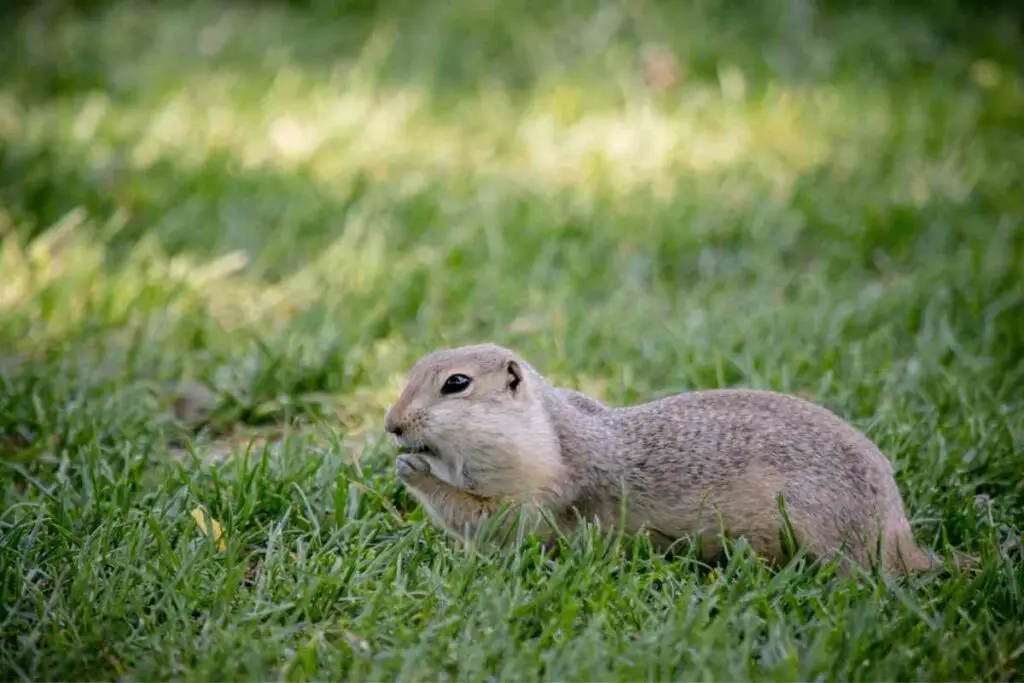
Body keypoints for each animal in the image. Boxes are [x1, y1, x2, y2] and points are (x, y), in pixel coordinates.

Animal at [385, 344, 958, 573]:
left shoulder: (547, 486)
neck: (550, 433)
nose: (391, 425)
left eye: (456, 383)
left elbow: (495, 518)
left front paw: (415, 472)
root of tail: (899, 535)